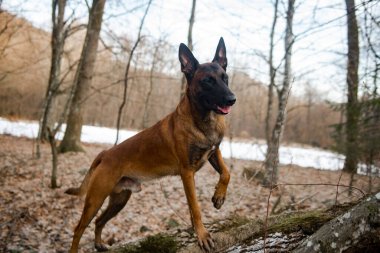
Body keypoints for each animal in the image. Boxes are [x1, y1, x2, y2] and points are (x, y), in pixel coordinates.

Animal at [67, 37, 236, 253]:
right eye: (208, 81)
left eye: (225, 77)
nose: (232, 99)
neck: (203, 120)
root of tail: (105, 153)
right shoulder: (187, 173)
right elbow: (195, 207)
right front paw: (202, 234)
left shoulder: (214, 153)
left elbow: (226, 173)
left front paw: (219, 197)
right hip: (96, 198)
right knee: (79, 228)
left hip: (119, 200)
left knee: (99, 221)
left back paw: (99, 244)